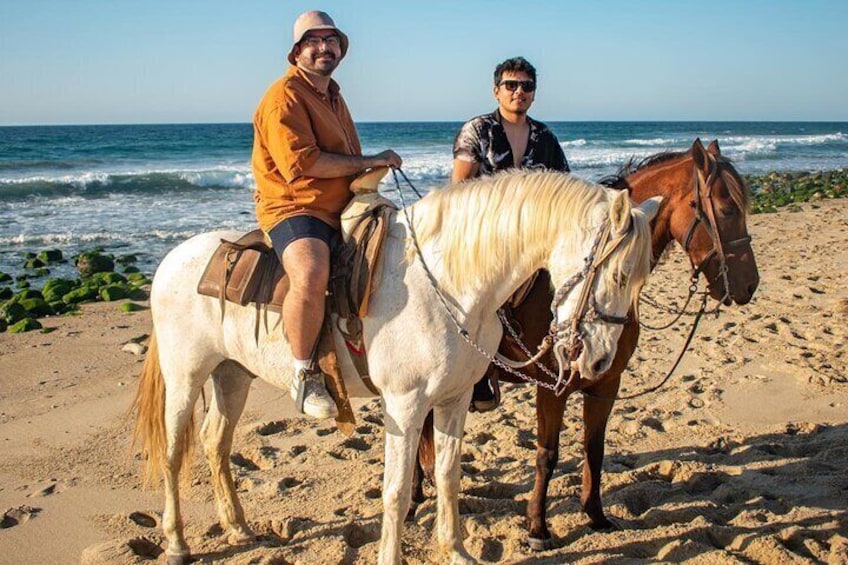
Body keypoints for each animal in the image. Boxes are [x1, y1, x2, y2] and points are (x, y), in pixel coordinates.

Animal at [134, 171, 664, 564]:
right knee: (176, 452)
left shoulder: (454, 400)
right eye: (619, 274)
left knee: (215, 443)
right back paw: (177, 543)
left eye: (642, 278)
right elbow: (395, 489)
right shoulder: (406, 407)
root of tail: (171, 260)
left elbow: (448, 476)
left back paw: (238, 526)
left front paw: (456, 551)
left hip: (232, 375)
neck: (449, 281)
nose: (600, 360)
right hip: (186, 377)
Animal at [414, 139, 760, 548]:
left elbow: (594, 448)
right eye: (726, 209)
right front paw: (537, 526)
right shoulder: (554, 385)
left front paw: (596, 514)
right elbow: (547, 453)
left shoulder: (605, 383)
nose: (750, 285)